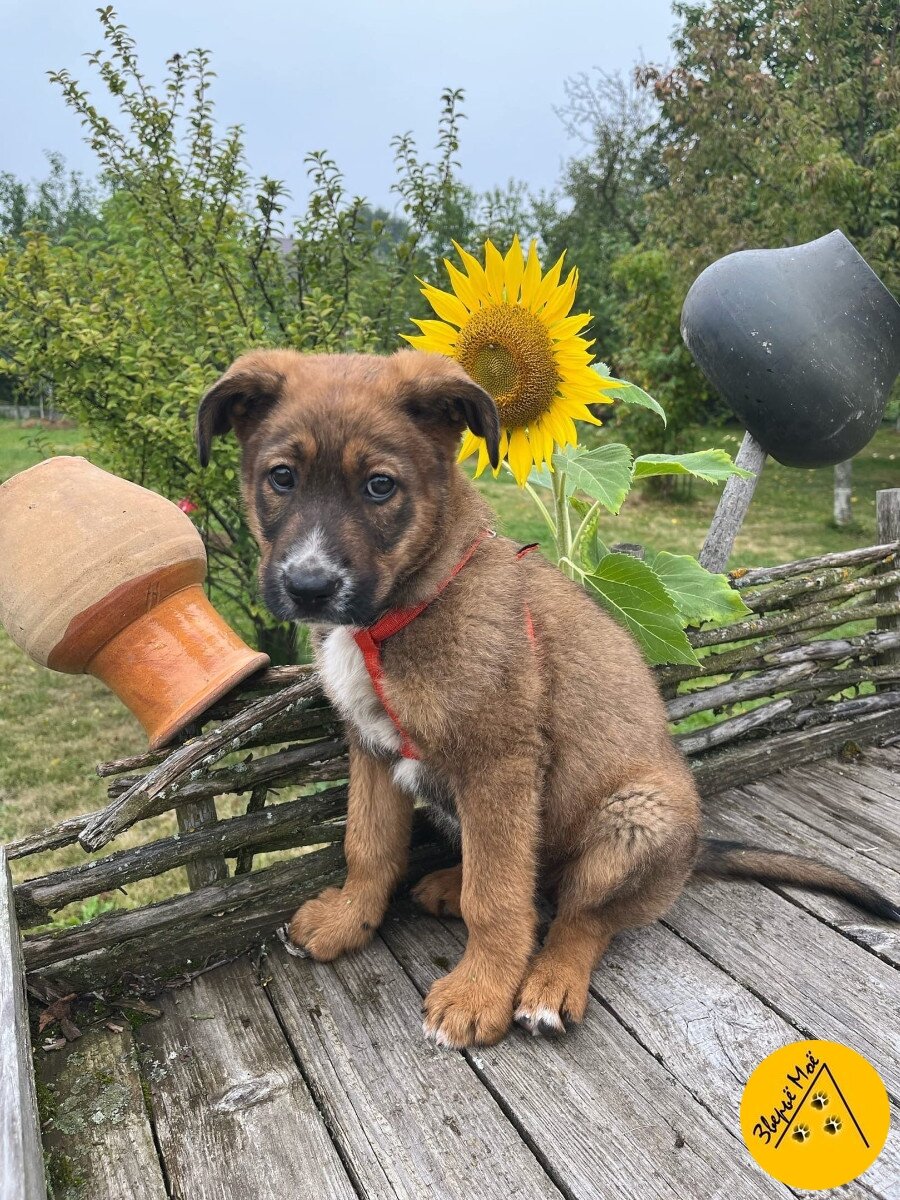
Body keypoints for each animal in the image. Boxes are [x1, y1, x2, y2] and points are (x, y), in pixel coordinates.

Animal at [199, 345, 900, 1041]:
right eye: (282, 478)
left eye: (380, 486)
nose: (309, 587)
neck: (399, 612)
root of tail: (692, 852)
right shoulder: (372, 748)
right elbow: (368, 848)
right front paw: (349, 921)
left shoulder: (500, 763)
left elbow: (496, 898)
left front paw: (481, 991)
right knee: (534, 883)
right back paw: (449, 883)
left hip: (635, 817)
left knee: (578, 917)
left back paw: (548, 983)